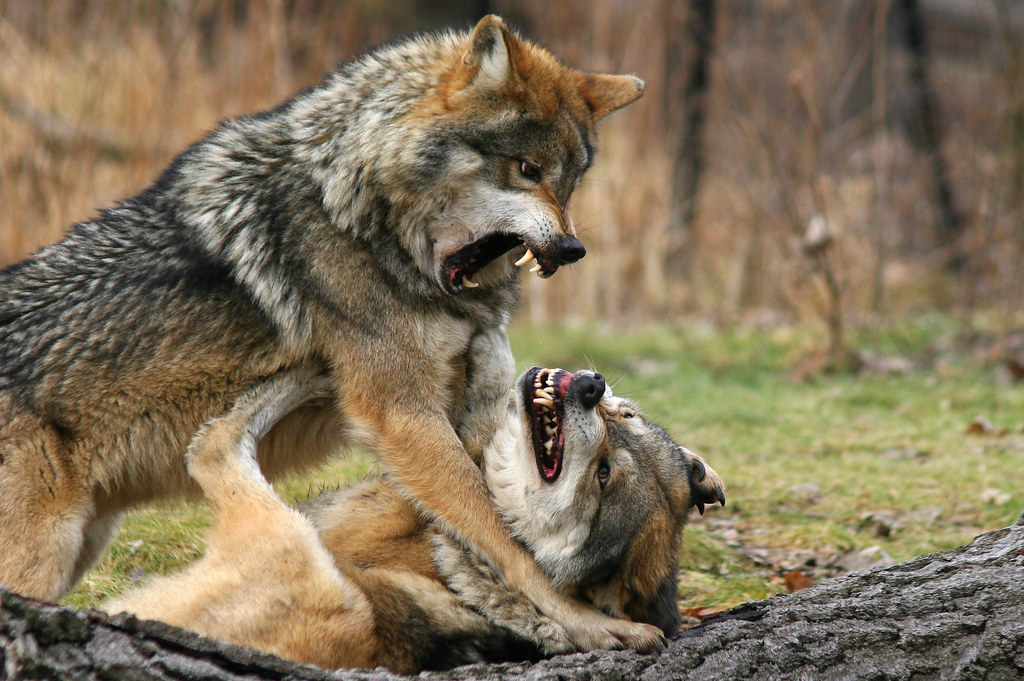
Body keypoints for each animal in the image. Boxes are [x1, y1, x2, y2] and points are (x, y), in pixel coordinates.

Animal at [0, 15, 648, 648]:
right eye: (527, 170)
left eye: (569, 185)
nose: (572, 248)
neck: (355, 215)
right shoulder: (402, 417)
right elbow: (506, 543)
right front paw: (587, 623)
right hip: (45, 556)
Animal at [104, 362, 726, 673]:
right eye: (624, 415)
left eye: (603, 474)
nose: (594, 386)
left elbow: (217, 444)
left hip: (298, 553)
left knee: (215, 444)